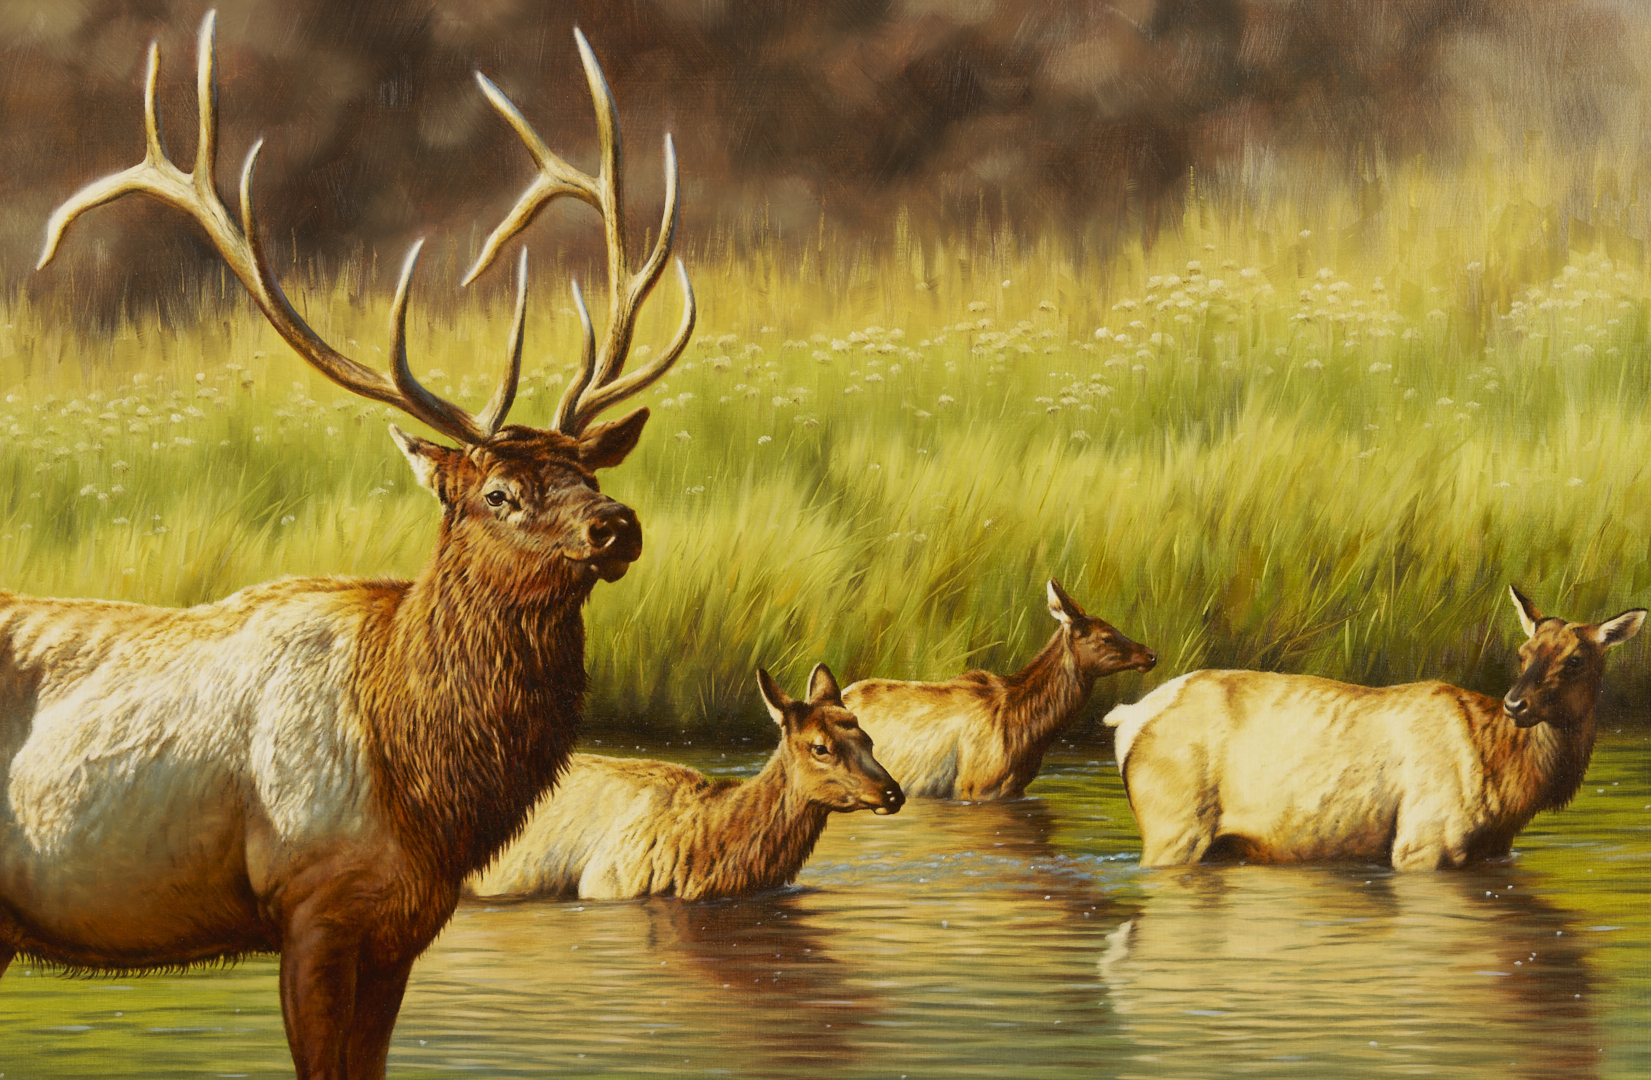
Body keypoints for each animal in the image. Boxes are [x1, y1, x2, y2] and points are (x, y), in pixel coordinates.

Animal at [4, 13, 693, 1079]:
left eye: (589, 469)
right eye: (498, 491)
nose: (616, 524)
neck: (418, 778)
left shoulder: (403, 922)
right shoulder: (312, 904)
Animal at [1104, 586, 1645, 870]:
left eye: (1576, 659)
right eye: (1522, 653)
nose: (1517, 703)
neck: (1511, 786)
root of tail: (1126, 716)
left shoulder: (1493, 851)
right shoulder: (1423, 840)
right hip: (1173, 824)